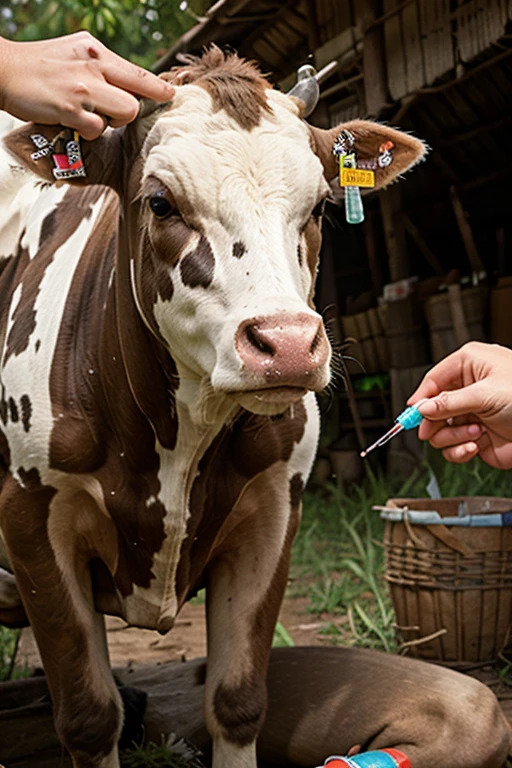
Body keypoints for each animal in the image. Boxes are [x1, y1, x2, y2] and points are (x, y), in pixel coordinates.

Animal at [0, 49, 426, 768]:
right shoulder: (31, 516)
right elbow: (89, 717)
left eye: (320, 205)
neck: (180, 437)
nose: (287, 344)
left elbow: (238, 700)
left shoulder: (275, 511)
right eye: (161, 201)